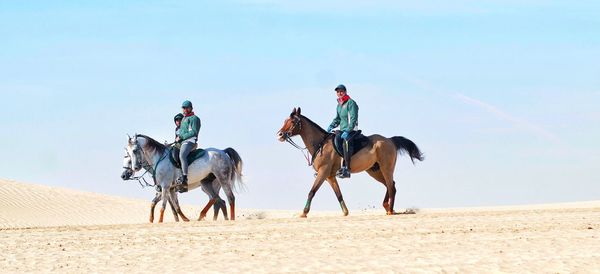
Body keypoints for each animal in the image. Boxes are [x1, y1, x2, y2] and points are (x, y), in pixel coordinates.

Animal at [276, 108, 422, 217]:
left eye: (293, 121)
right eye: (285, 120)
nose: (280, 134)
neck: (320, 144)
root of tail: (390, 140)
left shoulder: (323, 173)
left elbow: (312, 191)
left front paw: (304, 213)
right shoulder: (330, 176)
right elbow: (338, 194)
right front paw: (345, 212)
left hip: (386, 168)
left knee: (391, 186)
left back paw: (390, 211)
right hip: (374, 171)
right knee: (391, 185)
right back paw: (387, 207)